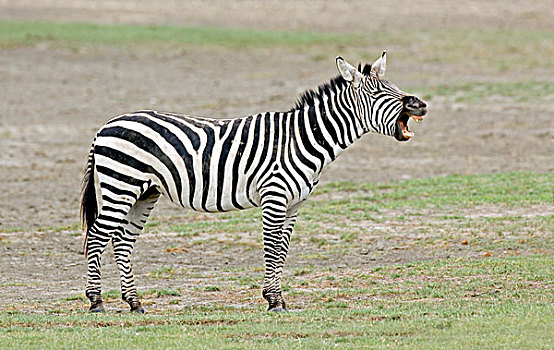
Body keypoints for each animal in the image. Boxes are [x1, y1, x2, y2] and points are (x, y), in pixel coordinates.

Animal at [81, 51, 426, 312]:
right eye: (376, 92)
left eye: (395, 86)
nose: (419, 104)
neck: (302, 139)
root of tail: (105, 126)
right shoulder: (274, 196)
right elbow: (271, 248)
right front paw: (274, 301)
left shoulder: (295, 203)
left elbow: (283, 249)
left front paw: (277, 298)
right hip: (121, 185)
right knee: (97, 236)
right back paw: (96, 302)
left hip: (144, 193)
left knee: (122, 241)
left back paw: (134, 303)